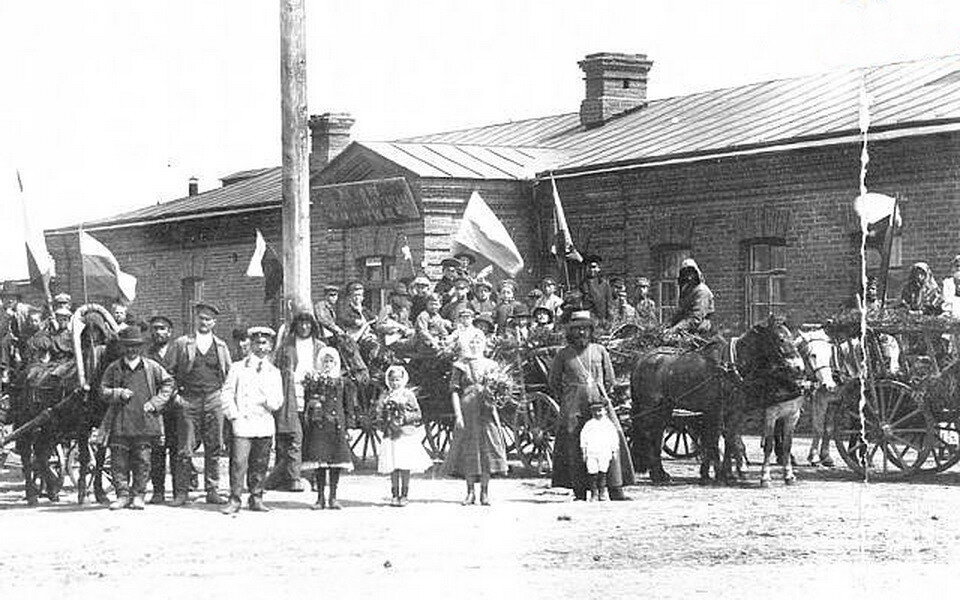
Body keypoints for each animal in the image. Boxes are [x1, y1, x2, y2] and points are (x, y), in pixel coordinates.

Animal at [632, 322, 804, 486]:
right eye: (781, 339)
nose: (799, 367)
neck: (731, 366)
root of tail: (643, 359)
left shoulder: (733, 412)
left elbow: (728, 440)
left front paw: (723, 474)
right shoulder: (716, 411)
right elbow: (714, 441)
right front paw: (719, 475)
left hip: (665, 409)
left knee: (657, 434)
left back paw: (660, 474)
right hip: (650, 407)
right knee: (648, 434)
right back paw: (657, 473)